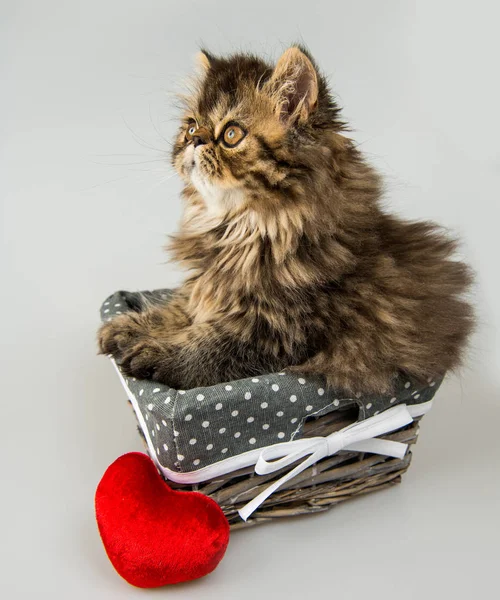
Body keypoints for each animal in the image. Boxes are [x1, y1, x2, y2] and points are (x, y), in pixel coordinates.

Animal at [98, 47, 476, 394]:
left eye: (231, 134)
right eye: (191, 127)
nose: (195, 139)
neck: (242, 229)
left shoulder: (279, 332)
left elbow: (208, 345)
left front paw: (153, 352)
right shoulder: (204, 288)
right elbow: (177, 309)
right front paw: (124, 327)